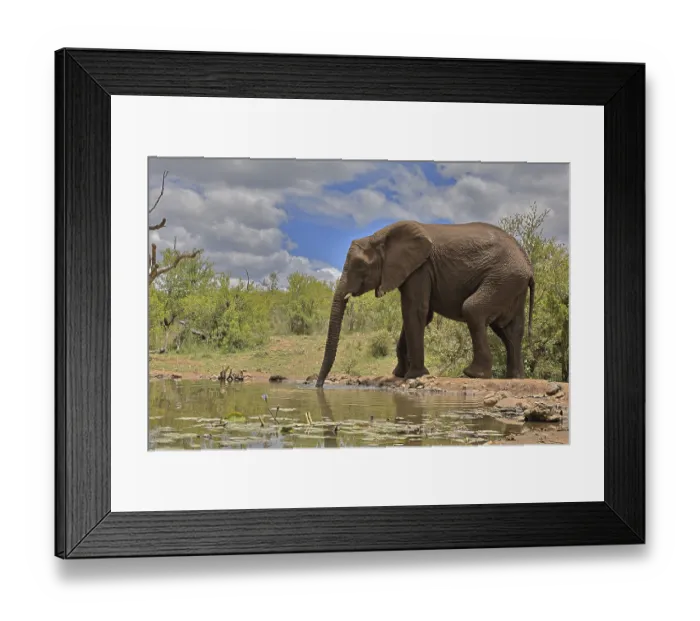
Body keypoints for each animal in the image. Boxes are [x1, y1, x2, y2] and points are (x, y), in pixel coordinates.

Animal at [315, 220, 535, 388]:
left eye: (360, 266)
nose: (318, 385)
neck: (380, 236)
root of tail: (527, 262)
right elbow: (420, 314)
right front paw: (399, 374)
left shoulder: (420, 268)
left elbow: (414, 311)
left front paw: (414, 375)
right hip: (512, 283)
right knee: (509, 329)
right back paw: (514, 377)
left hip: (504, 277)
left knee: (473, 310)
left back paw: (473, 374)